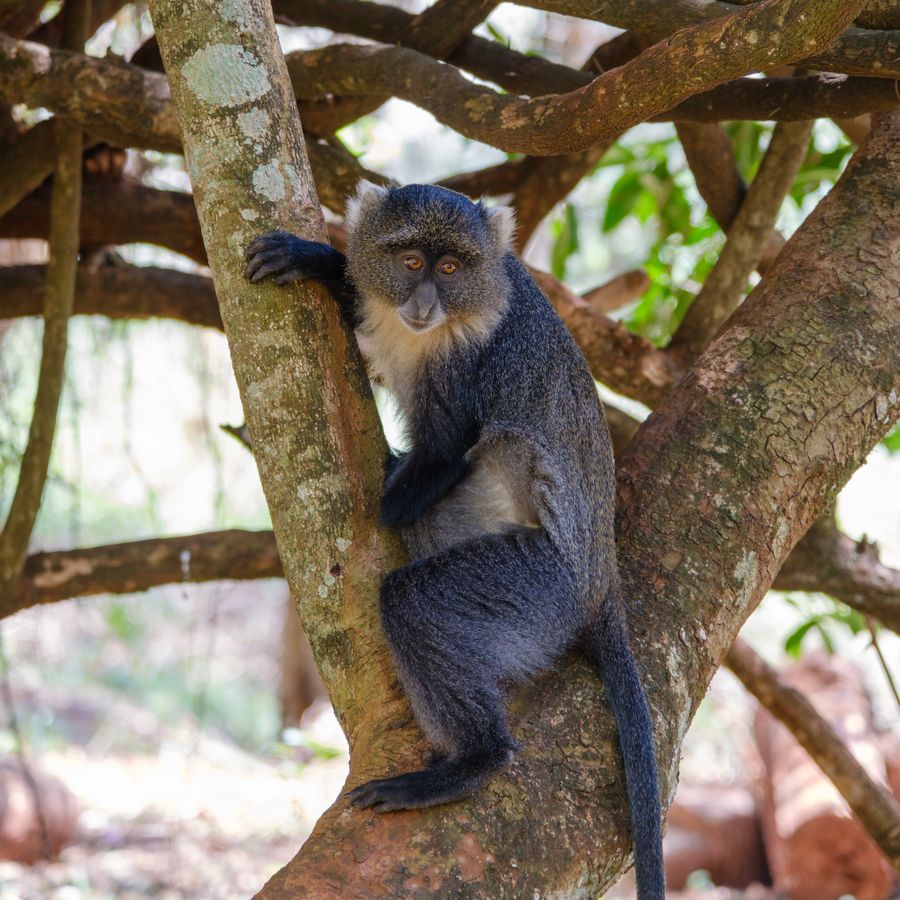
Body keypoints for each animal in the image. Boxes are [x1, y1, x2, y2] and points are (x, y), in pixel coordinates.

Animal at [245, 182, 665, 899]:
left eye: (449, 268)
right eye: (411, 261)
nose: (422, 304)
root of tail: (599, 585)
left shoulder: (470, 364)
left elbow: (445, 448)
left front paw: (382, 493)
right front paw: (318, 261)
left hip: (535, 587)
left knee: (417, 600)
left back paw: (470, 762)